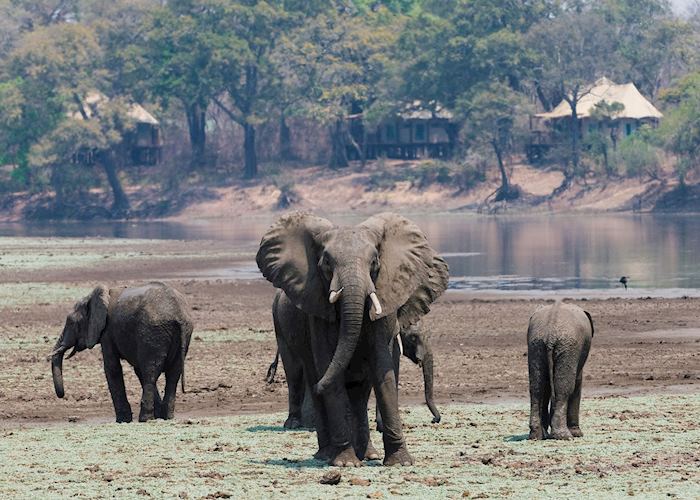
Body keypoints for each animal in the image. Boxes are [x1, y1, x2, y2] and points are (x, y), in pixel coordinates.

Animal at [49, 282, 193, 422]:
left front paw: (123, 420)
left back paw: (145, 419)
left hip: (152, 332)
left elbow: (112, 368)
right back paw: (167, 417)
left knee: (150, 373)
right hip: (183, 332)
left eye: (71, 322)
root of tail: (178, 313)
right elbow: (137, 369)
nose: (62, 395)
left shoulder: (107, 331)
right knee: (173, 375)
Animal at [258, 211, 448, 464]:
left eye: (375, 262)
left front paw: (401, 462)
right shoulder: (317, 311)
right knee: (299, 373)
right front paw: (346, 462)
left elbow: (383, 368)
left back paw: (367, 453)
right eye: (327, 263)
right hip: (280, 323)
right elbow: (329, 368)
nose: (436, 420)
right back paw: (321, 450)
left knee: (357, 393)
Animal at [528, 300, 592, 438]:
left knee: (537, 387)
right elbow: (576, 384)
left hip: (536, 345)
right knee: (564, 389)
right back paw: (564, 436)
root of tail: (550, 334)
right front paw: (578, 434)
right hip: (567, 347)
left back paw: (536, 435)